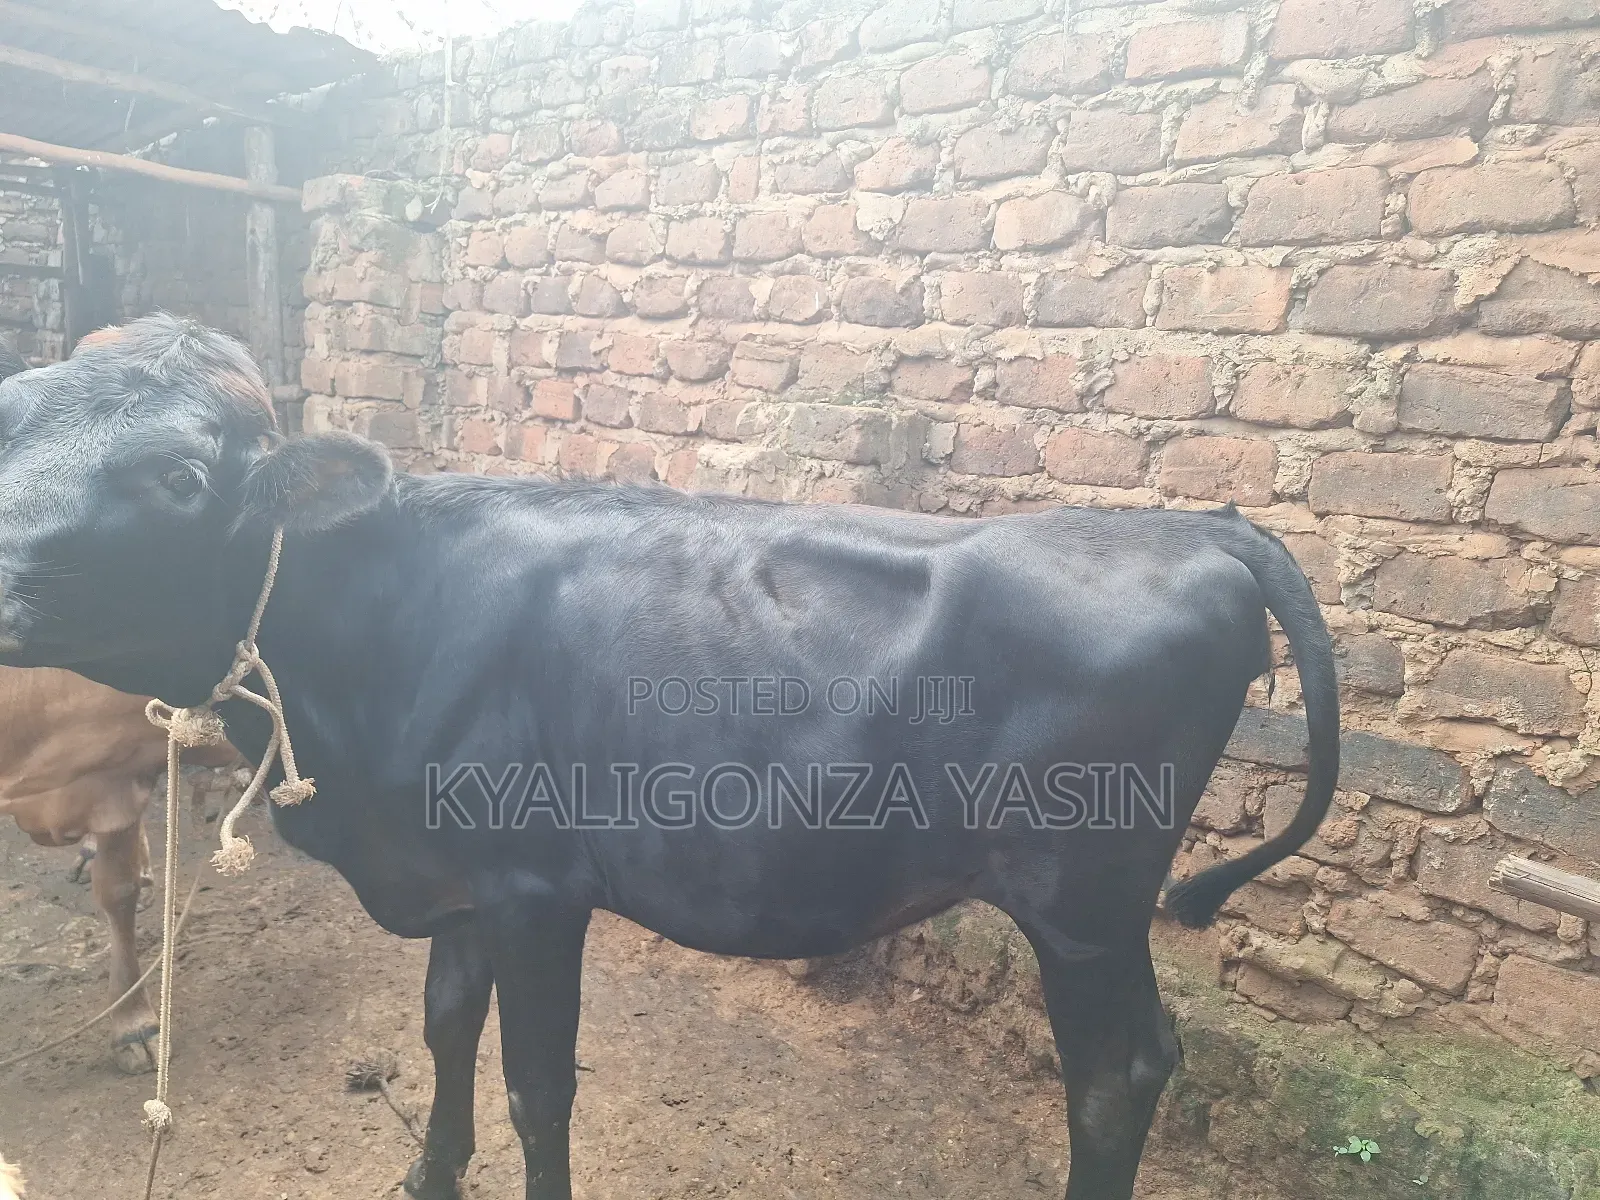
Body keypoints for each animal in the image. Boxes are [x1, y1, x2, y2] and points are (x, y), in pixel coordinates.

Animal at [0, 315, 1339, 1200]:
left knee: (1113, 1079)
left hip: (1080, 902)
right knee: (1151, 1060)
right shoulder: (452, 880)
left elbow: (538, 1084)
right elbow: (444, 1030)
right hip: (1103, 909)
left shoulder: (537, 889)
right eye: (9, 423)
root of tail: (1195, 532)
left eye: (179, 476)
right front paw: (430, 1177)